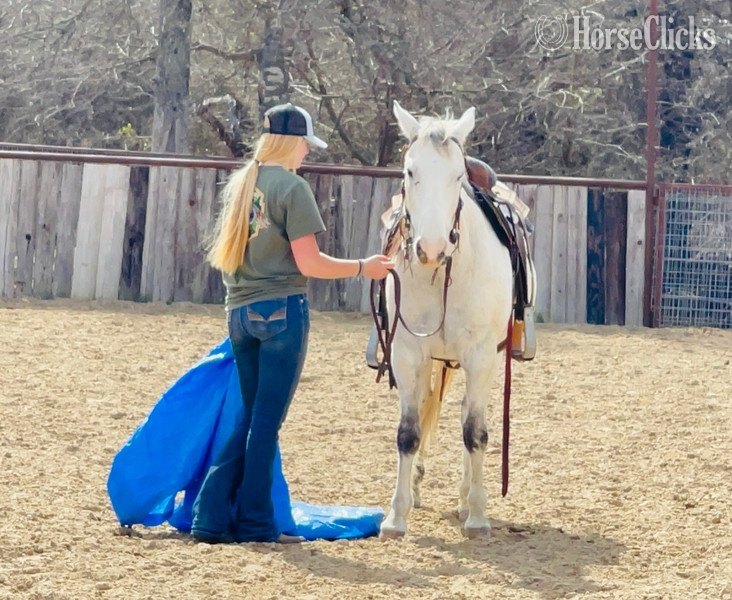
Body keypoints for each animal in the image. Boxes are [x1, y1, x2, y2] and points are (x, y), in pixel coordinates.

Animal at [378, 101, 525, 539]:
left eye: (457, 176)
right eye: (410, 172)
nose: (431, 248)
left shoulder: (480, 355)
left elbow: (474, 432)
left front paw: (476, 514)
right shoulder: (407, 352)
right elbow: (408, 433)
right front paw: (396, 515)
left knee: (467, 418)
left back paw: (464, 500)